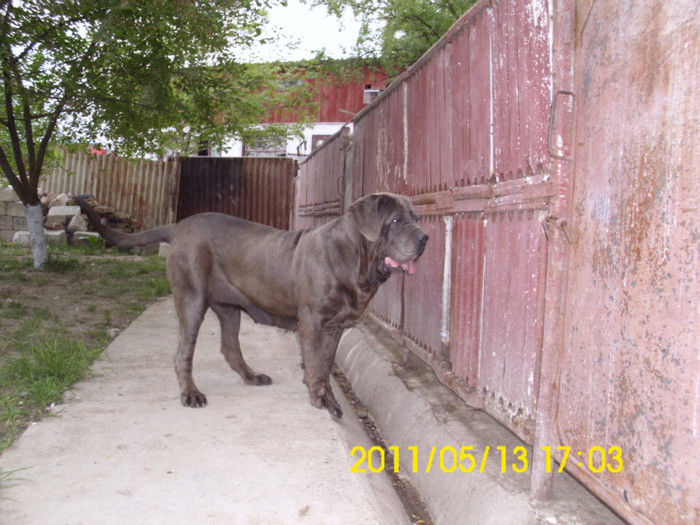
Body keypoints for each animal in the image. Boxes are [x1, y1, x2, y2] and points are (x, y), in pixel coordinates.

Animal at [75, 192, 426, 418]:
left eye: (416, 218)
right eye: (396, 219)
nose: (424, 238)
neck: (354, 258)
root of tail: (178, 226)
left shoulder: (336, 326)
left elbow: (325, 365)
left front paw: (327, 399)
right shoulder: (314, 322)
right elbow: (316, 364)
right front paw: (319, 401)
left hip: (229, 309)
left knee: (230, 347)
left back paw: (252, 376)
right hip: (191, 300)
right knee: (182, 353)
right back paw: (190, 394)